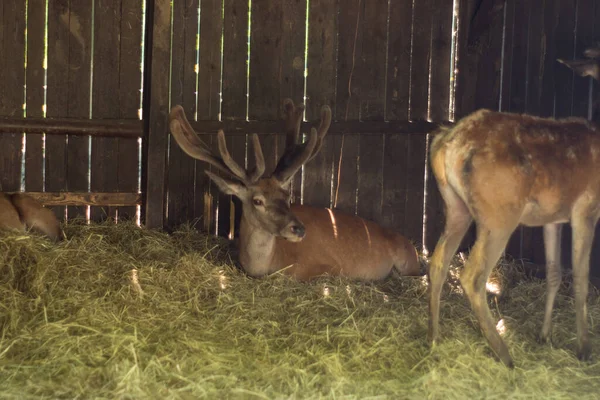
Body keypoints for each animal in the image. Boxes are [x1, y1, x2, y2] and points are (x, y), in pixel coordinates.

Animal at [169, 99, 422, 282]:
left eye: (287, 196)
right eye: (257, 200)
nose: (298, 229)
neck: (269, 263)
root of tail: (413, 246)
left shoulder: (328, 266)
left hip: (408, 262)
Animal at [426, 47, 600, 366]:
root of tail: (447, 142)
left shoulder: (553, 216)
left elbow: (554, 273)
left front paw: (544, 336)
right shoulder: (586, 207)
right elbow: (580, 278)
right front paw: (584, 348)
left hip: (455, 206)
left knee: (439, 261)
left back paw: (434, 338)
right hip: (500, 215)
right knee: (473, 276)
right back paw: (504, 354)